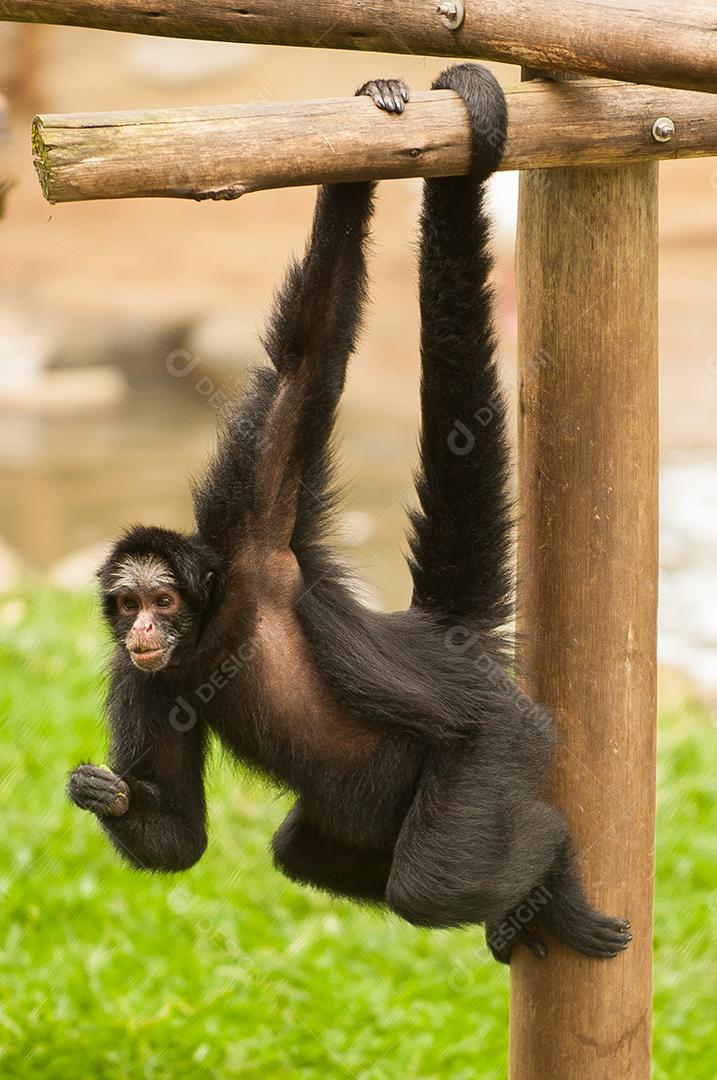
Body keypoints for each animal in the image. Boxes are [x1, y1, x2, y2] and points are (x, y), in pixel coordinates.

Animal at [68, 65, 631, 964]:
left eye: (161, 598)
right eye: (125, 606)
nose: (145, 628)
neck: (215, 628)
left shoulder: (256, 538)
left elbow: (307, 356)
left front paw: (357, 145)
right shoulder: (143, 676)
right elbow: (185, 838)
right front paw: (107, 794)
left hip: (496, 742)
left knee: (432, 877)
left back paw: (550, 866)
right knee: (305, 854)